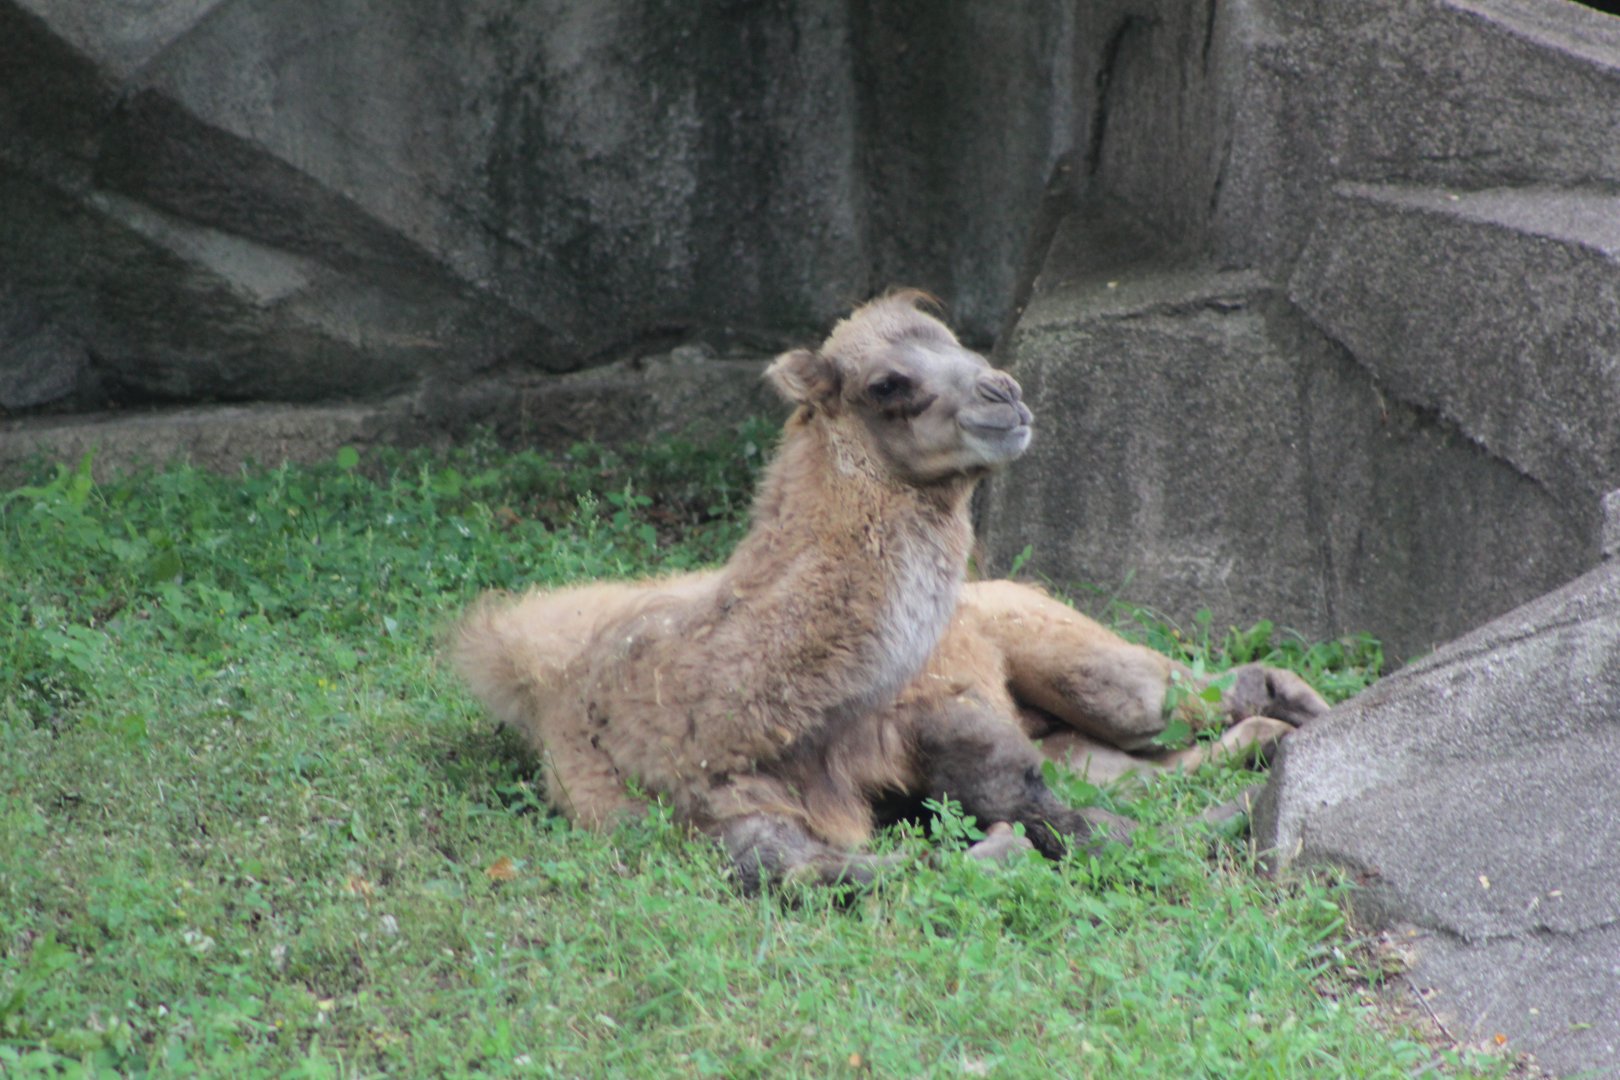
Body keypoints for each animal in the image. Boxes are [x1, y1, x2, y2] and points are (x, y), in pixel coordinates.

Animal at [453, 292, 1326, 889]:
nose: (1006, 393)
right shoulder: (715, 821)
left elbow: (1052, 810)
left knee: (1172, 700)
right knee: (1162, 753)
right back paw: (1277, 746)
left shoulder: (937, 716)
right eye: (888, 383)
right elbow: (821, 871)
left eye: (962, 345)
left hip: (1081, 662)